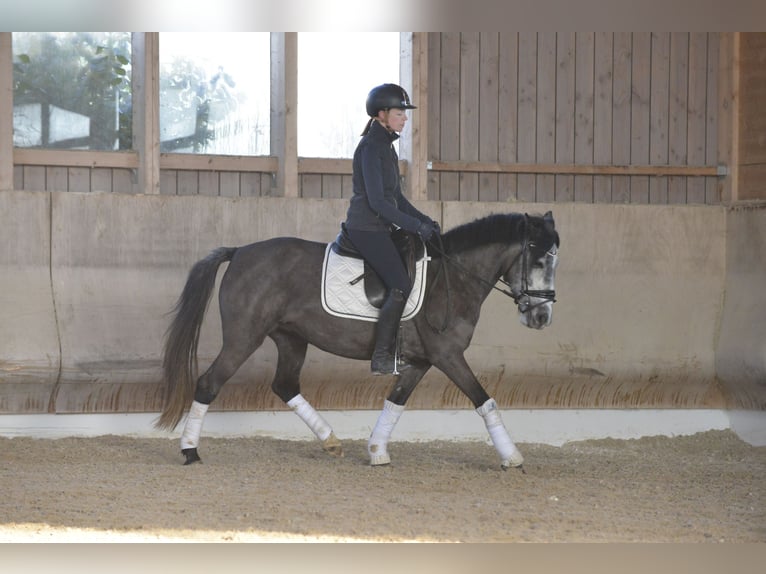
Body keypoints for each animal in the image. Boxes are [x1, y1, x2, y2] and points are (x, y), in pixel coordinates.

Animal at [158, 212, 564, 472]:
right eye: (540, 260)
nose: (542, 318)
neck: (452, 277)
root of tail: (240, 251)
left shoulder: (421, 361)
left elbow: (395, 402)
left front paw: (377, 451)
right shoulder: (448, 355)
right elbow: (485, 400)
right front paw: (512, 457)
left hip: (291, 338)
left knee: (285, 385)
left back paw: (330, 440)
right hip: (244, 338)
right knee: (209, 383)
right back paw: (190, 451)